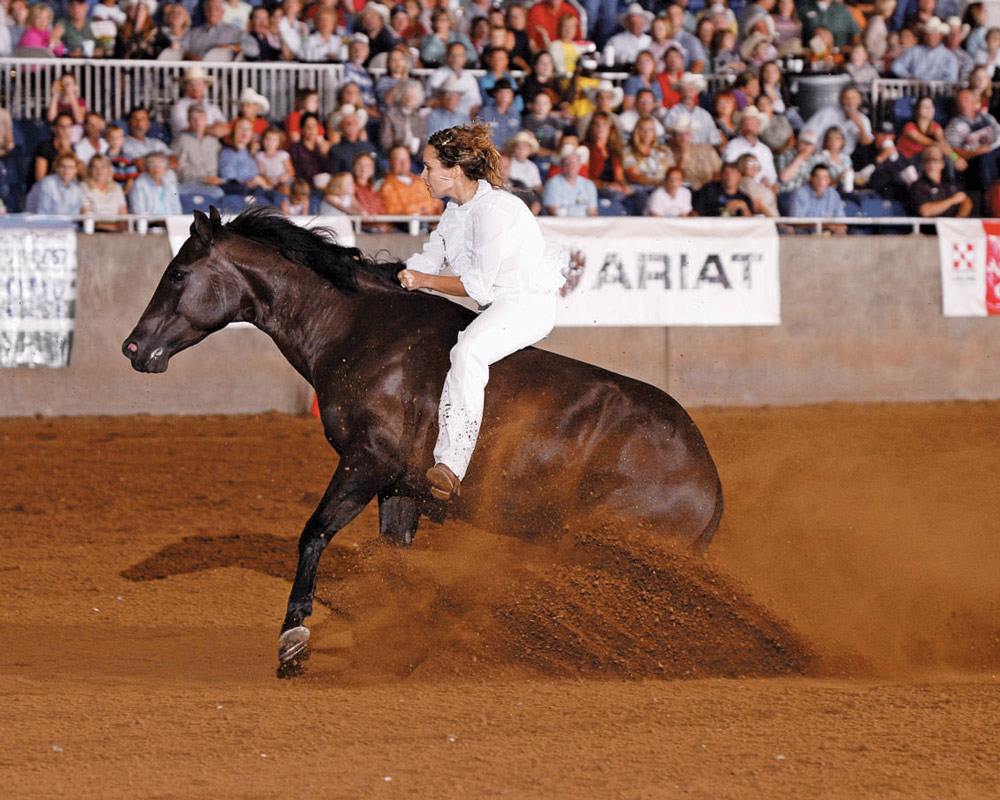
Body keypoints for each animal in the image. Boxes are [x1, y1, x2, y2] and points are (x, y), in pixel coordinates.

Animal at [123, 206, 723, 667]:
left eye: (178, 274)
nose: (132, 347)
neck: (356, 330)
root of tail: (707, 480)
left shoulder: (367, 462)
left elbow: (314, 534)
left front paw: (293, 638)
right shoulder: (399, 488)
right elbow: (394, 561)